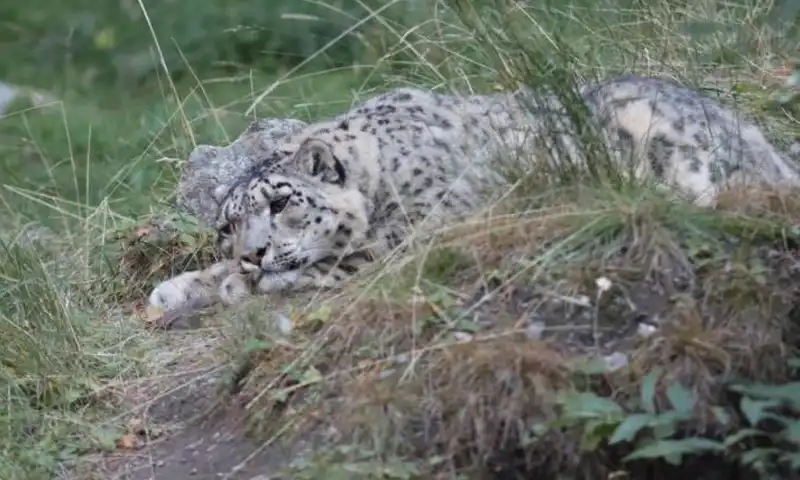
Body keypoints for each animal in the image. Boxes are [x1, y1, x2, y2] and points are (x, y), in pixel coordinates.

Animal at [148, 74, 800, 316]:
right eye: (227, 226)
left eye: (282, 203)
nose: (252, 254)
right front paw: (180, 286)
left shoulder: (421, 231)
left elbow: (341, 259)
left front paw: (237, 284)